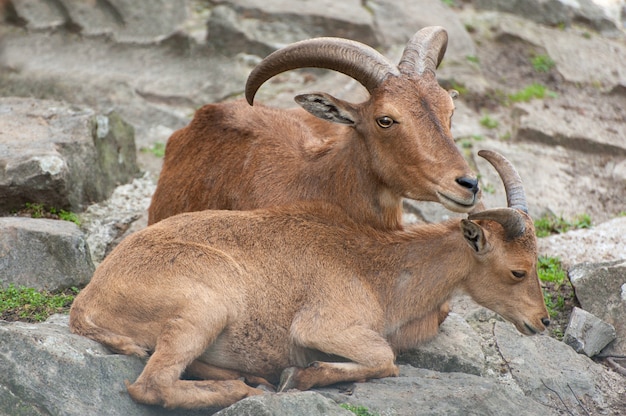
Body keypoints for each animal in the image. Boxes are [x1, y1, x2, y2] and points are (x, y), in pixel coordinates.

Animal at [69, 150, 544, 410]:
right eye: (517, 270)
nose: (542, 322)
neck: (378, 271)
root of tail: (86, 305)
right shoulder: (324, 324)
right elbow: (385, 358)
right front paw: (301, 376)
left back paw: (252, 379)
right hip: (204, 307)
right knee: (152, 386)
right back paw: (250, 389)